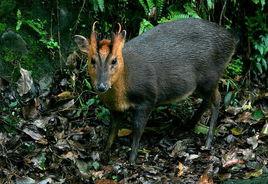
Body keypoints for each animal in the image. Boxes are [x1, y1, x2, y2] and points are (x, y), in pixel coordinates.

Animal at [74, 18, 236, 162]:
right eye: (92, 60)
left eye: (114, 60)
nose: (101, 86)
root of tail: (232, 39)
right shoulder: (115, 109)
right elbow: (113, 129)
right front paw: (105, 153)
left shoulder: (148, 98)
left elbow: (138, 128)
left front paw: (132, 159)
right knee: (208, 100)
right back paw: (187, 125)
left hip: (210, 76)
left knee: (216, 99)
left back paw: (207, 142)